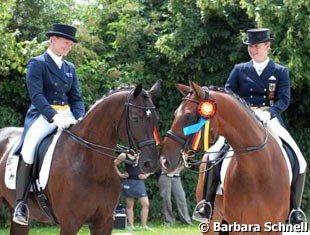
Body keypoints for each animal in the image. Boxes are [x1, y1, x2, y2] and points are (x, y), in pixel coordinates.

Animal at [160, 81, 290, 234]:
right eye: (175, 114)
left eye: (188, 116)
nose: (164, 161)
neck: (258, 170)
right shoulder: (238, 225)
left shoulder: (274, 226)